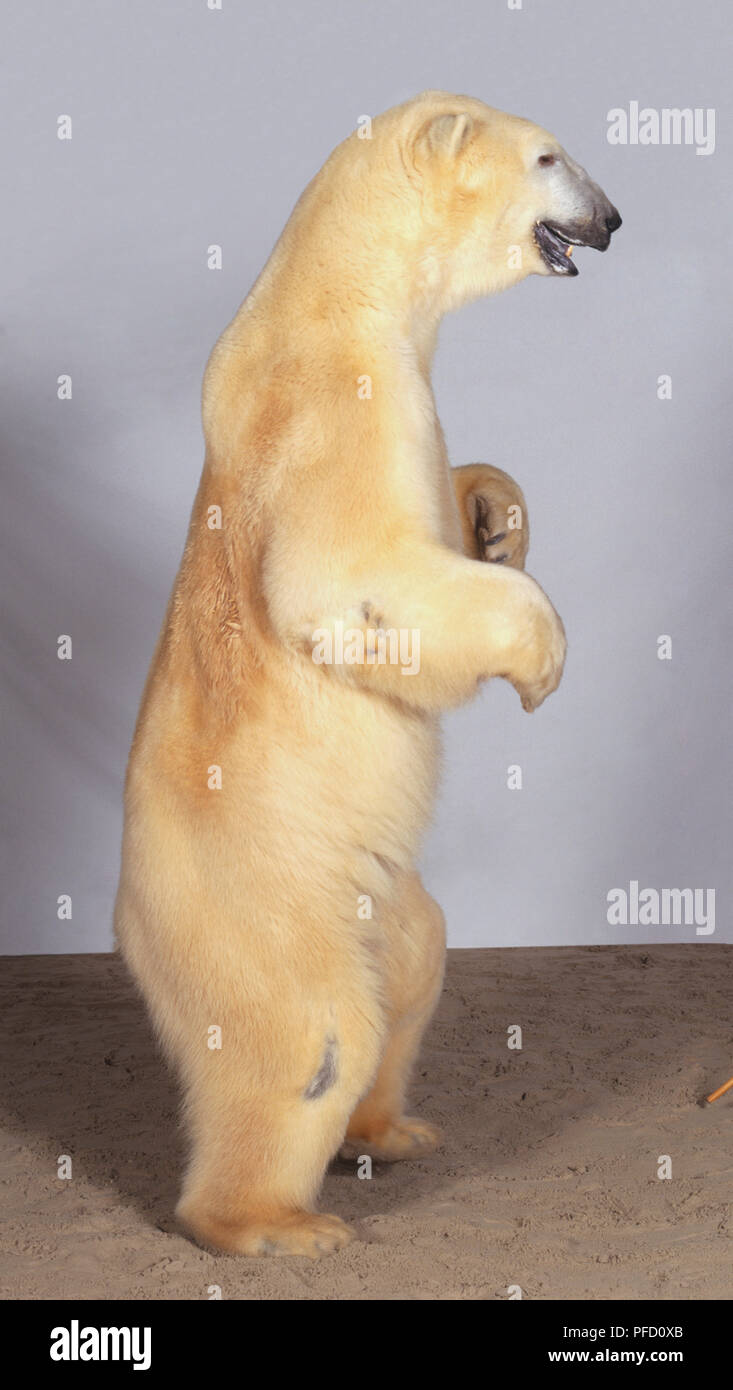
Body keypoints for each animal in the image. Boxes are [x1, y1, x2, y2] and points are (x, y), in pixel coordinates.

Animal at [114, 89, 620, 1262]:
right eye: (549, 157)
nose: (614, 218)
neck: (334, 288)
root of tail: (123, 910)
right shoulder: (343, 400)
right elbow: (348, 578)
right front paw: (540, 655)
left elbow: (448, 508)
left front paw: (498, 514)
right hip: (252, 890)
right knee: (314, 1030)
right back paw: (274, 1223)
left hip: (371, 887)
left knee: (416, 959)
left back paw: (392, 1129)